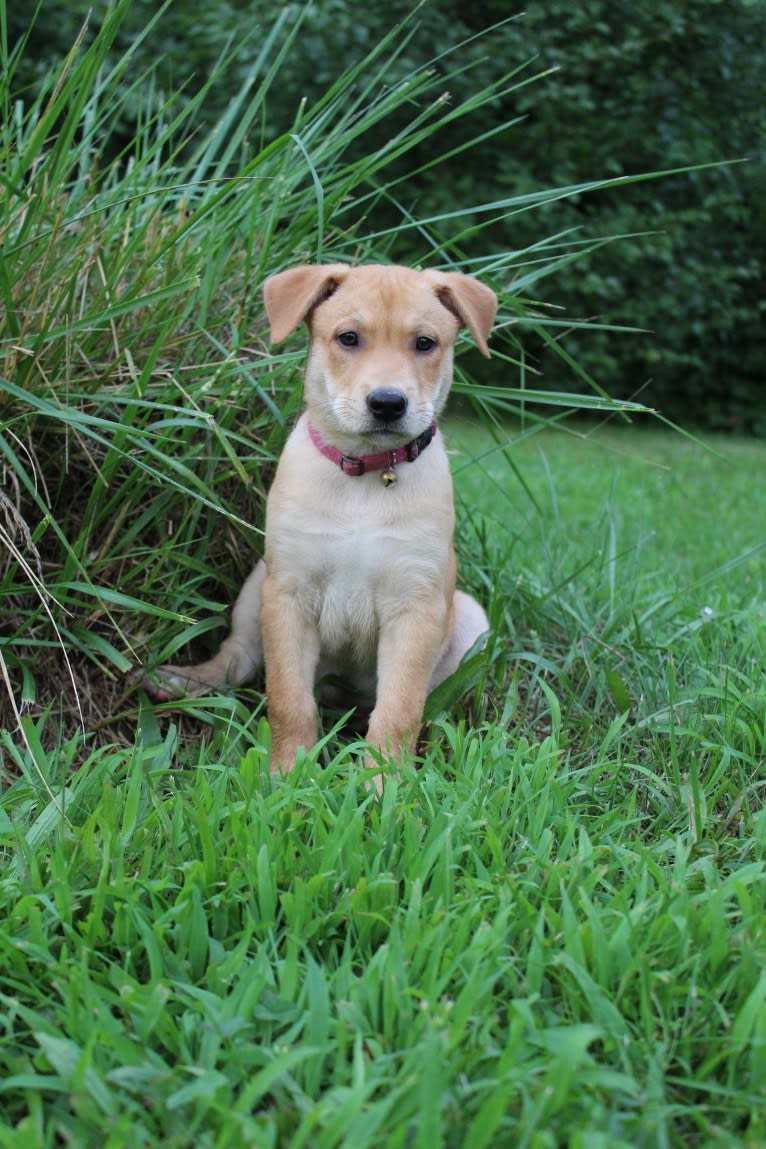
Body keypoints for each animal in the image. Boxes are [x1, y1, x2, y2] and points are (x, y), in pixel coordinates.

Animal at [141, 263, 500, 781]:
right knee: (238, 659)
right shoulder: (289, 594)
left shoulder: (415, 605)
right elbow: (287, 697)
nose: (387, 403)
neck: (365, 478)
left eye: (425, 343)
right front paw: (286, 774)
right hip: (259, 583)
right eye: (348, 338)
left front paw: (383, 782)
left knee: (426, 702)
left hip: (469, 617)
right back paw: (179, 680)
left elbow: (399, 709)